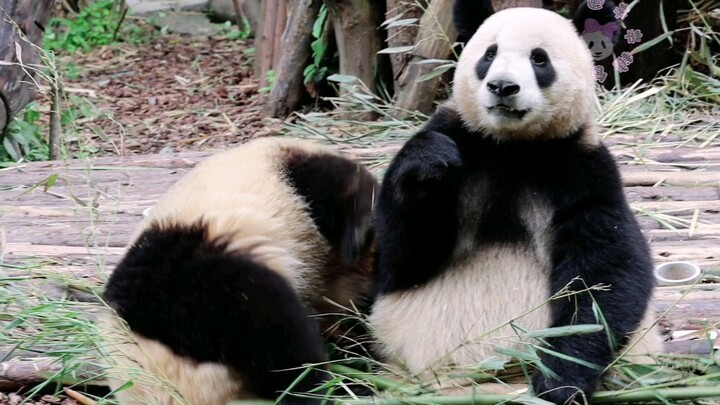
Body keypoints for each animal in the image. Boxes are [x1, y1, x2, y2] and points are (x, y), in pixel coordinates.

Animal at [369, 1, 661, 404]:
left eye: (539, 59)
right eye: (489, 54)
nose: (502, 86)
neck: (513, 147)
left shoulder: (583, 169)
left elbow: (606, 274)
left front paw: (560, 378)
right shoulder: (464, 142)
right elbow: (400, 260)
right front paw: (426, 166)